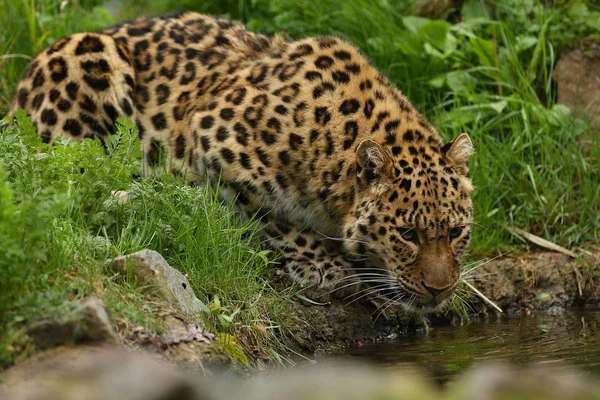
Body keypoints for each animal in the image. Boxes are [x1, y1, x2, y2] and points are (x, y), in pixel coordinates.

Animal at [9, 10, 474, 312]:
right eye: (408, 234)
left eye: (456, 232)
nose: (441, 290)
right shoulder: (209, 135)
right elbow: (273, 215)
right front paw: (324, 265)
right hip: (86, 55)